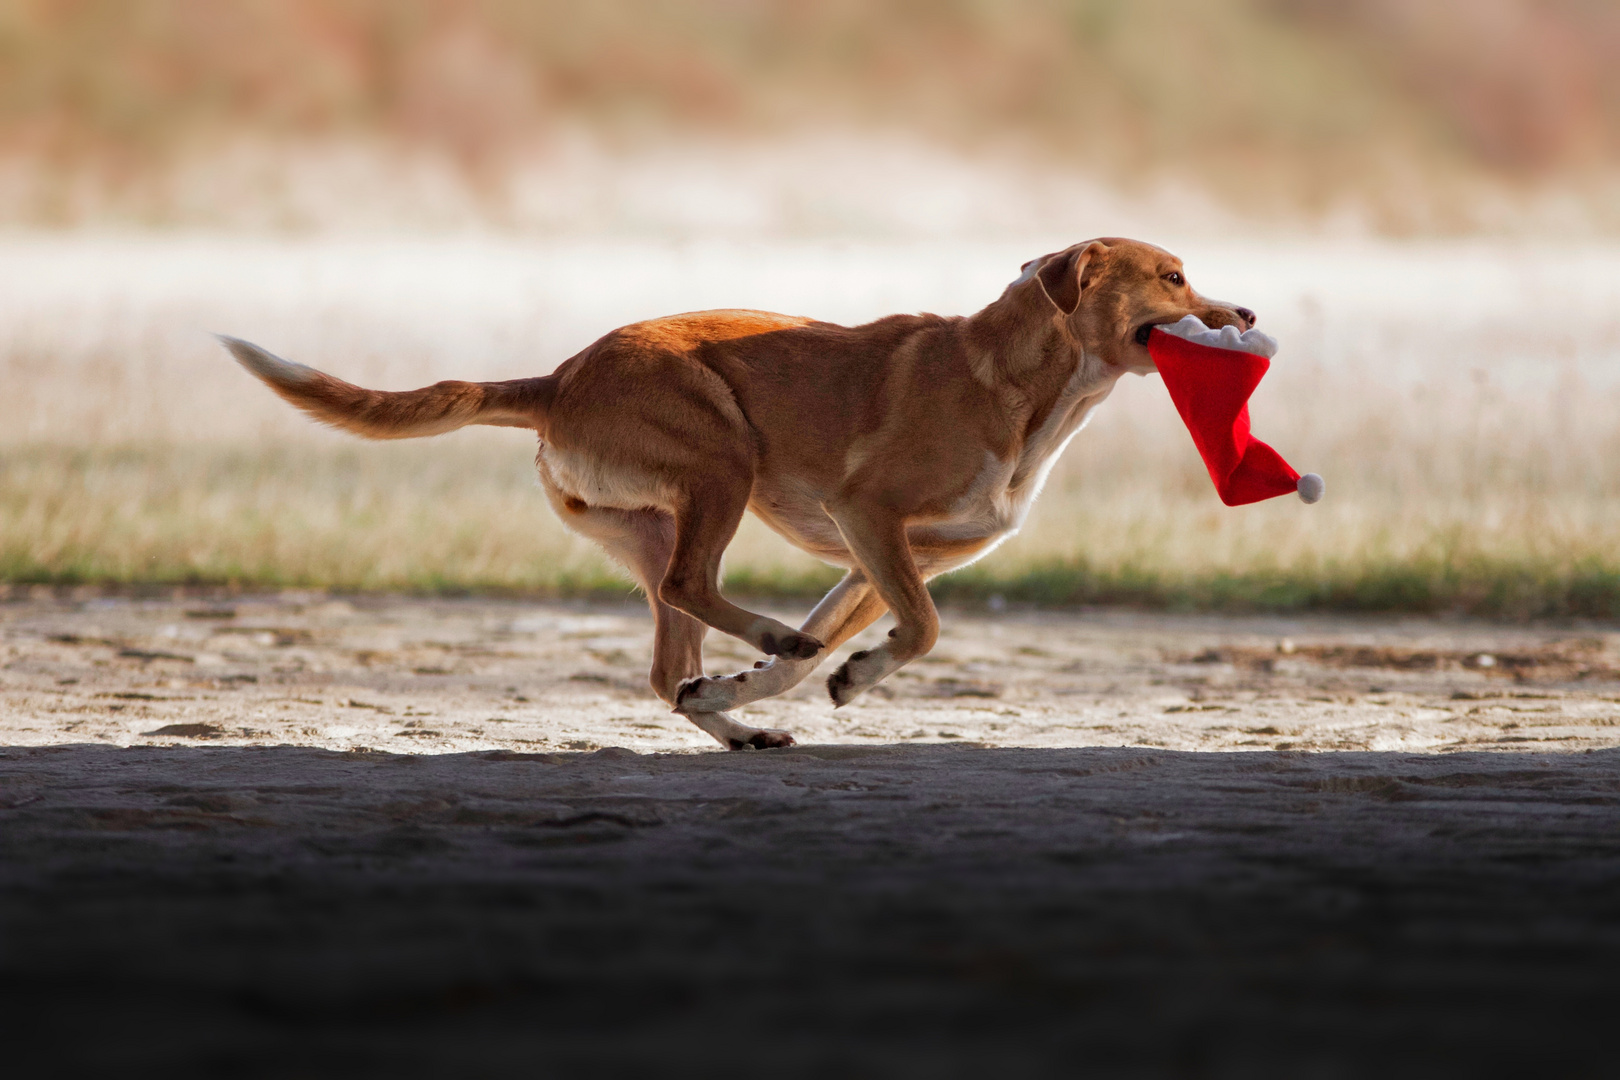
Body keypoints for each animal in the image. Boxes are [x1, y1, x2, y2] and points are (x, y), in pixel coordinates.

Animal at [221, 238, 1257, 748]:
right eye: (1172, 278)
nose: (1247, 311)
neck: (1021, 385)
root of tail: (558, 379)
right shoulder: (870, 520)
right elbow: (920, 633)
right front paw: (833, 670)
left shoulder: (887, 560)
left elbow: (845, 644)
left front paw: (771, 683)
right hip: (723, 460)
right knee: (695, 586)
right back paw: (763, 641)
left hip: (648, 527)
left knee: (665, 658)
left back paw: (733, 717)